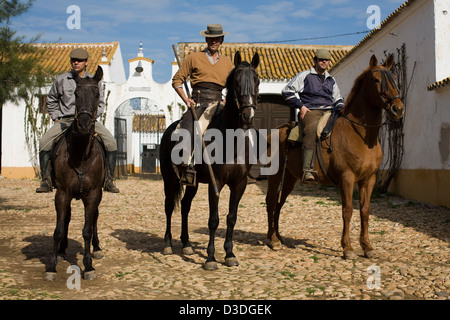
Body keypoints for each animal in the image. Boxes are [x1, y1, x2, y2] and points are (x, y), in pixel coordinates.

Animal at [45, 67, 106, 280]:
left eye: (97, 94)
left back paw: (97, 248)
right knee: (67, 219)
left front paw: (88, 266)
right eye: (76, 94)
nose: (84, 126)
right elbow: (58, 229)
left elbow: (87, 229)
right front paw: (51, 266)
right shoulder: (62, 193)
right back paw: (63, 248)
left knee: (95, 218)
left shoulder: (93, 194)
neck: (80, 154)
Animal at [161, 50, 260, 270]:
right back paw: (168, 244)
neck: (231, 140)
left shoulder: (239, 184)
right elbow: (213, 220)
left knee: (185, 206)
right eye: (237, 82)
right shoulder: (217, 183)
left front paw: (229, 254)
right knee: (169, 206)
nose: (248, 116)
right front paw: (211, 258)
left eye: (257, 81)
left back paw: (186, 244)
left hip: (193, 182)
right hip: (169, 180)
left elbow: (231, 218)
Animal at [266, 55, 406, 258]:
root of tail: (275, 132)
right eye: (376, 80)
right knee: (271, 202)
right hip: (275, 176)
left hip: (290, 178)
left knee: (279, 203)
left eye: (394, 77)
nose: (398, 109)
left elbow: (365, 211)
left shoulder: (368, 179)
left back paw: (278, 237)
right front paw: (347, 248)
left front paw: (367, 247)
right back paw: (273, 240)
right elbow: (347, 210)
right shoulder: (347, 177)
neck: (359, 134)